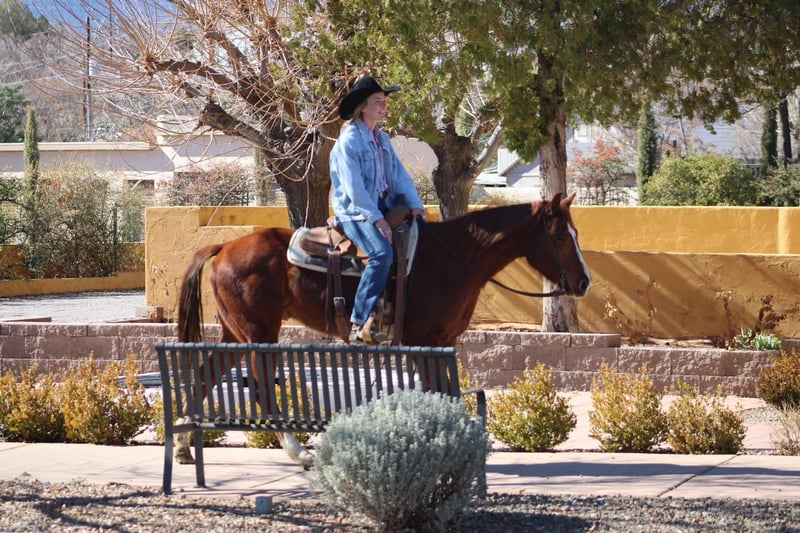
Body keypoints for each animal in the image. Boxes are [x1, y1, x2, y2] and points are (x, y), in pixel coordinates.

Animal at [174, 192, 591, 466]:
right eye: (559, 235)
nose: (584, 282)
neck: (452, 260)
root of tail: (224, 246)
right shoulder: (423, 342)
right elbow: (439, 392)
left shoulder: (443, 343)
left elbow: (446, 393)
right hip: (259, 333)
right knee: (261, 387)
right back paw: (298, 451)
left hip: (235, 332)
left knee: (203, 375)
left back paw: (182, 445)